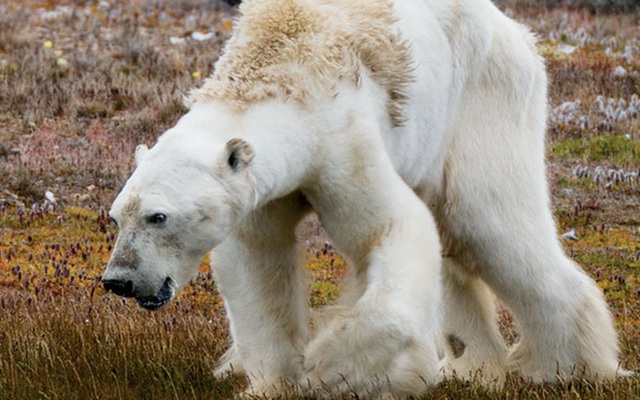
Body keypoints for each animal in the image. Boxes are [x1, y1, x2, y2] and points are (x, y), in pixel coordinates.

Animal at [104, 0, 624, 396]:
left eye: (158, 216)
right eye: (116, 217)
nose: (118, 281)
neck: (281, 64)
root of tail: (515, 30)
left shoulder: (341, 140)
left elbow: (391, 229)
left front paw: (335, 367)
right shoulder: (261, 191)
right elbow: (258, 263)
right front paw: (272, 382)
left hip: (482, 99)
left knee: (490, 225)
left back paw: (566, 368)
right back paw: (473, 368)